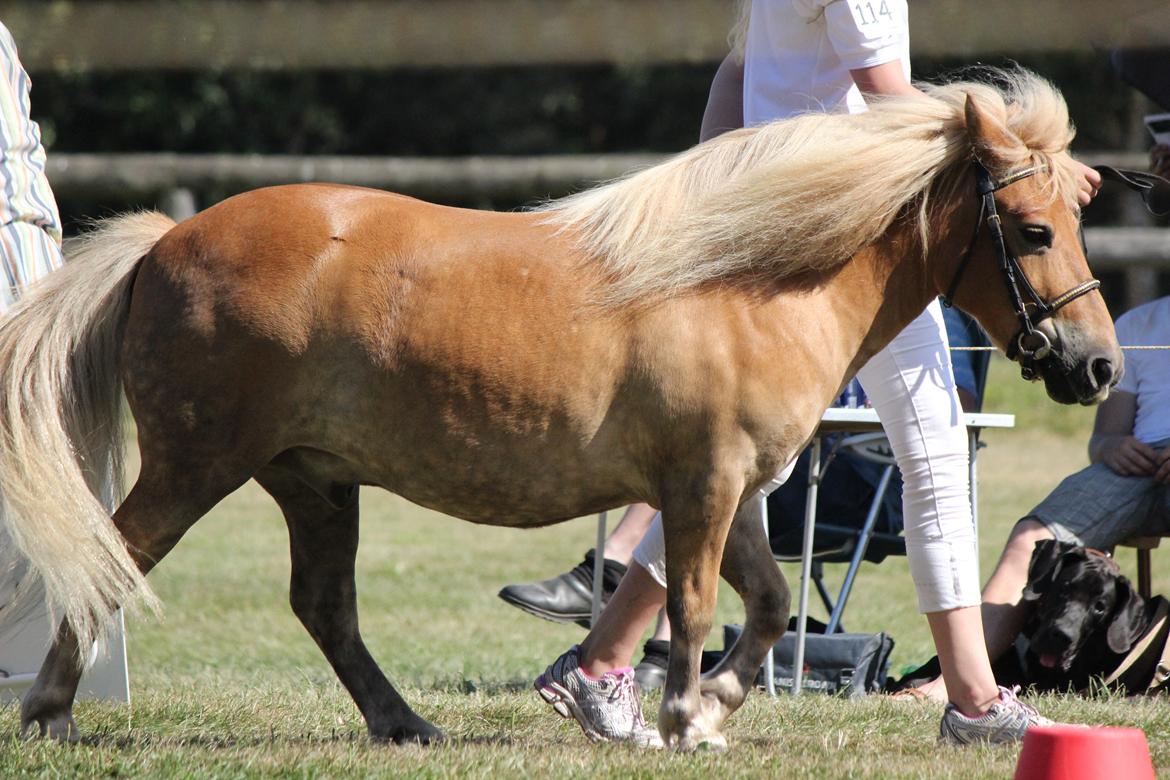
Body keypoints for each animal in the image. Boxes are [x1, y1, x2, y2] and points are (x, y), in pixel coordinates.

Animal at [4, 71, 1118, 748]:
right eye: (1029, 229)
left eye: (1074, 215)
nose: (1098, 364)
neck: (748, 283)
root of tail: (162, 241)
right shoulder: (703, 488)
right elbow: (695, 607)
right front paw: (680, 715)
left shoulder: (735, 494)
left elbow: (762, 607)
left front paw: (710, 705)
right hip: (198, 465)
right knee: (111, 559)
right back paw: (52, 712)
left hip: (314, 483)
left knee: (324, 607)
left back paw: (404, 725)